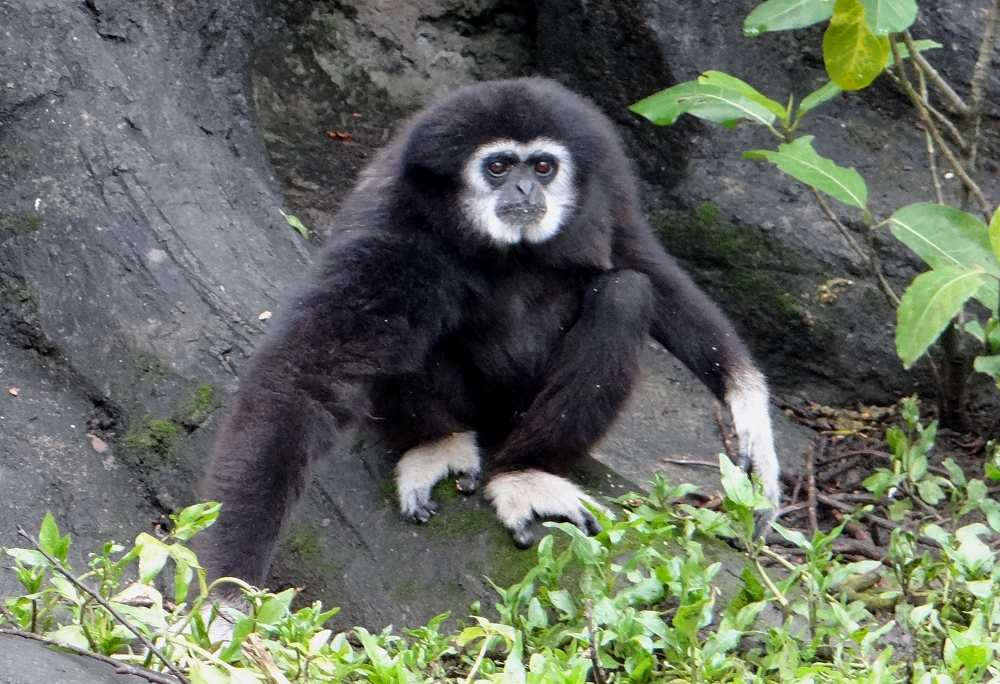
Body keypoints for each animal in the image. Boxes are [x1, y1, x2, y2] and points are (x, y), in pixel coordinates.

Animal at [196, 78, 780, 591]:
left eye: (542, 166)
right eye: (497, 167)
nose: (524, 186)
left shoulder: (607, 184)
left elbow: (643, 262)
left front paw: (747, 405)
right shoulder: (392, 218)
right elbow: (310, 373)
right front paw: (226, 591)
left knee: (626, 293)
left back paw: (523, 471)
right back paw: (441, 443)